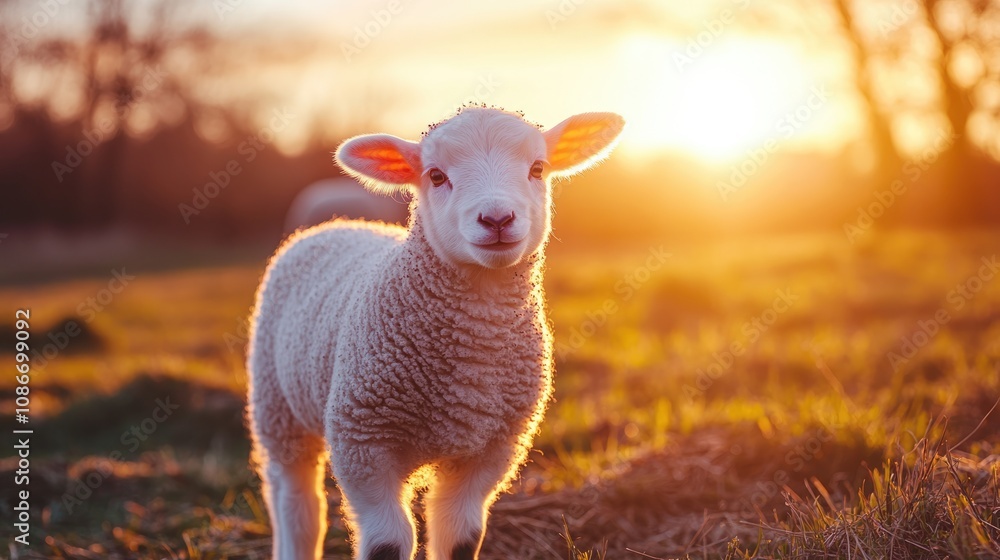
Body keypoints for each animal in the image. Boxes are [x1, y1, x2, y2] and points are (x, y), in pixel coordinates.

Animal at [247, 106, 624, 560]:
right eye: (437, 175)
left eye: (538, 168)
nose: (497, 219)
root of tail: (335, 225)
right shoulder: (363, 442)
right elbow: (387, 542)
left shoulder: (492, 449)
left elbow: (461, 535)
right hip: (276, 406)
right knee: (296, 500)